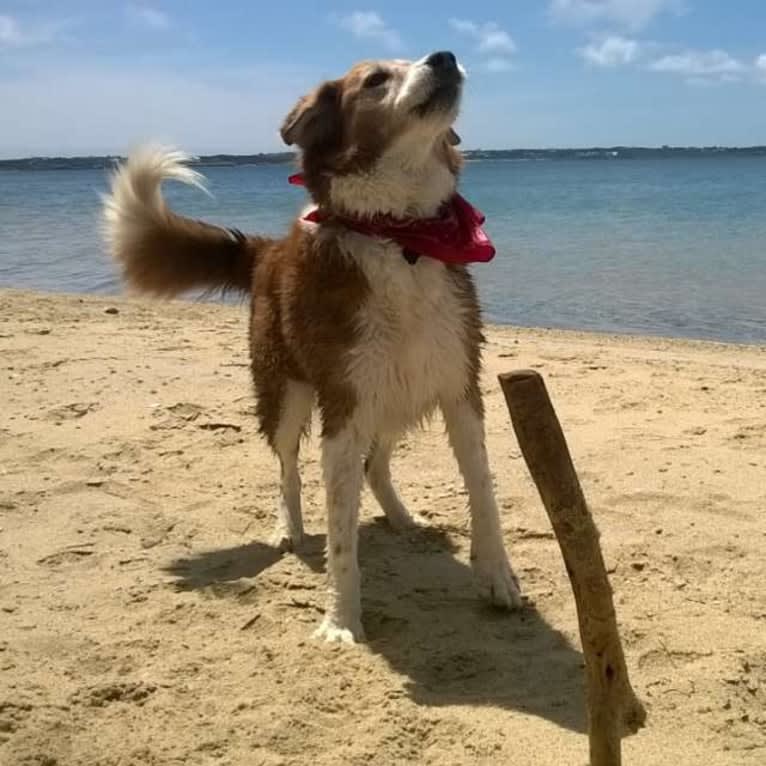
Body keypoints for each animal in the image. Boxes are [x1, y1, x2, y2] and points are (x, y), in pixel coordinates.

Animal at [103, 51, 520, 644]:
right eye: (376, 80)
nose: (445, 57)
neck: (400, 234)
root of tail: (266, 251)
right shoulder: (343, 404)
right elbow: (341, 534)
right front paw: (341, 620)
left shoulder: (458, 387)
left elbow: (483, 493)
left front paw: (498, 578)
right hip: (288, 394)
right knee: (288, 470)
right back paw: (290, 528)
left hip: (395, 390)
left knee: (376, 464)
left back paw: (400, 517)